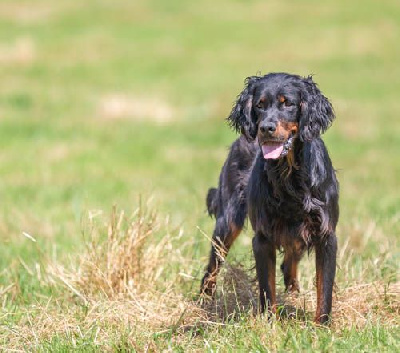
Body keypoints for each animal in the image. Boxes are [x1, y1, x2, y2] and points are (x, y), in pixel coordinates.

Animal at [202, 73, 340, 324]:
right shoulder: (263, 237)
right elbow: (267, 289)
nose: (265, 128)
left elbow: (324, 288)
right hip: (227, 223)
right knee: (212, 267)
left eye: (288, 104)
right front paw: (269, 323)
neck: (289, 173)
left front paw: (322, 326)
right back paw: (203, 301)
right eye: (259, 105)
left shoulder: (326, 235)